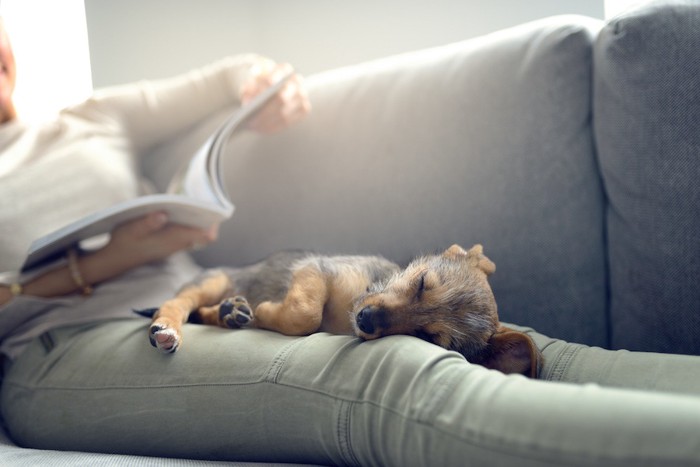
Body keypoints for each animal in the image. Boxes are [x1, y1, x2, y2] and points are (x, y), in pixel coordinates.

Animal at [138, 245, 540, 376]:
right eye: (422, 282)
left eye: (428, 338)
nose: (367, 319)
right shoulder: (316, 269)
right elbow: (305, 313)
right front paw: (268, 309)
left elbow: (304, 318)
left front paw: (259, 312)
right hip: (211, 281)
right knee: (177, 304)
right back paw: (169, 329)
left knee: (202, 310)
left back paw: (230, 312)